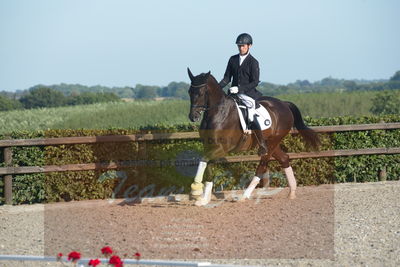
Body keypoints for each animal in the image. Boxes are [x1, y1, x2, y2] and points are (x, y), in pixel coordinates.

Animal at [186, 68, 320, 206]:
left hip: (272, 143)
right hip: (271, 143)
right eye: (190, 92)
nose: (193, 116)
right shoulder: (210, 145)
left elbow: (204, 159)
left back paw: (244, 196)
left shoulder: (222, 148)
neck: (218, 113)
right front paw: (204, 199)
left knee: (262, 167)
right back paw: (292, 193)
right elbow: (208, 166)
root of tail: (284, 104)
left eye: (201, 93)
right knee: (284, 159)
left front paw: (196, 189)